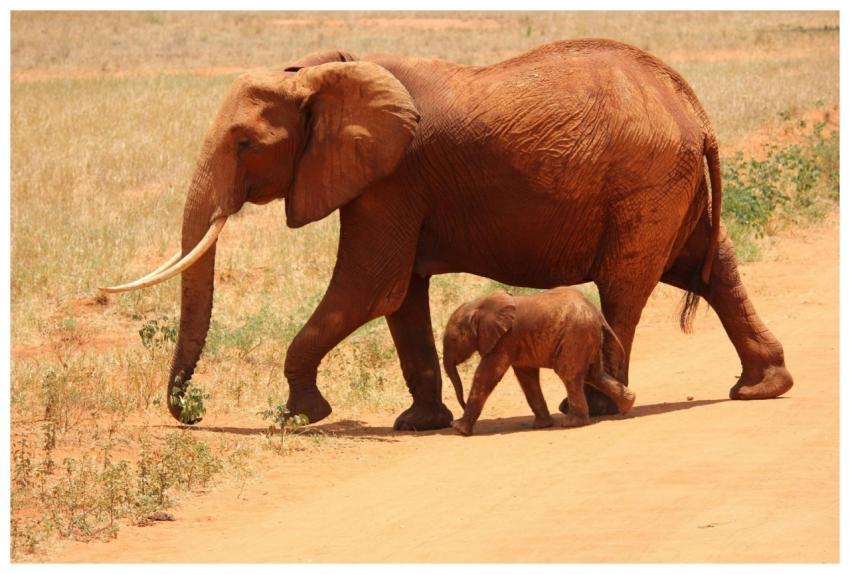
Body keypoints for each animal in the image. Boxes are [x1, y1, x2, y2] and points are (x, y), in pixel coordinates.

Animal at [443, 287, 636, 436]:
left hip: (575, 336)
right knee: (594, 375)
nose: (462, 405)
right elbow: (527, 377)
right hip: (587, 337)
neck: (479, 306)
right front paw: (542, 425)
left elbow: (487, 374)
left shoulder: (505, 339)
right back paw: (628, 405)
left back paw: (572, 423)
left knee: (570, 375)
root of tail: (597, 313)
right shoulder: (516, 342)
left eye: (453, 340)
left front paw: (458, 429)